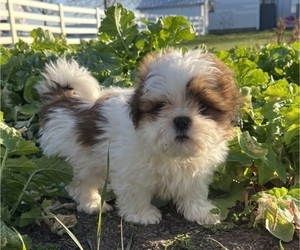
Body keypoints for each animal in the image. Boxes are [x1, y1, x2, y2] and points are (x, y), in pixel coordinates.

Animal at [36, 48, 240, 225]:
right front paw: (142, 215)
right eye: (160, 106)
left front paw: (201, 211)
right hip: (77, 160)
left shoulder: (195, 172)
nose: (181, 120)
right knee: (80, 183)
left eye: (204, 106)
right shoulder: (130, 170)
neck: (172, 153)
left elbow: (194, 191)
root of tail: (62, 101)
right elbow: (136, 192)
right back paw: (92, 203)